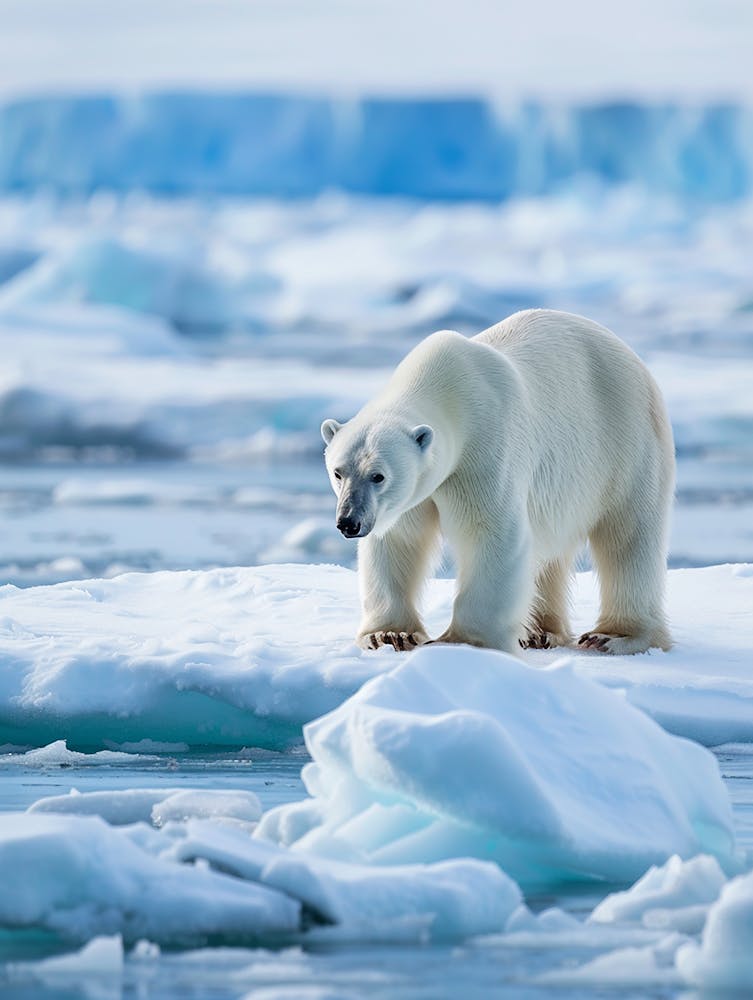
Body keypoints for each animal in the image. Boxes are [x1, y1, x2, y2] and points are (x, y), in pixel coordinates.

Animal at [321, 308, 674, 656]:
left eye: (378, 475)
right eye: (338, 472)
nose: (348, 522)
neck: (448, 390)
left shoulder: (484, 447)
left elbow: (490, 531)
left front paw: (465, 642)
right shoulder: (412, 495)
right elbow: (399, 539)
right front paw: (390, 635)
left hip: (627, 441)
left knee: (628, 536)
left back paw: (614, 636)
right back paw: (539, 632)